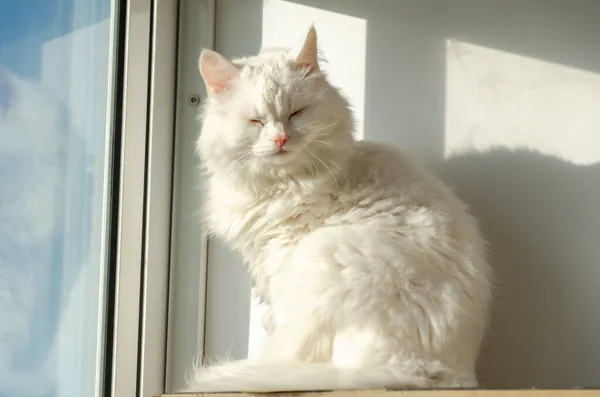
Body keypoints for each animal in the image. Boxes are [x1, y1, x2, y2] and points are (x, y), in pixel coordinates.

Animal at [186, 26, 492, 392]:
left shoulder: (279, 258)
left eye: (297, 113)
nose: (280, 140)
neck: (283, 182)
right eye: (256, 121)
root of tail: (430, 371)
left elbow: (276, 323)